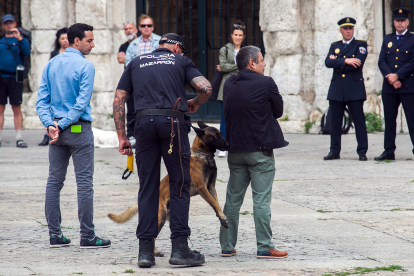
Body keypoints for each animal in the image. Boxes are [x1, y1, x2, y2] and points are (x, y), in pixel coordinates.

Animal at [106, 122, 230, 256]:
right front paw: (223, 217)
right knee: (152, 235)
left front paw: (222, 217)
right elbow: (214, 203)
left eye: (221, 133)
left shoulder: (211, 187)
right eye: (215, 136)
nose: (228, 145)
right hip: (160, 217)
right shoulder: (202, 188)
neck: (202, 155)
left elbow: (216, 203)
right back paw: (154, 252)